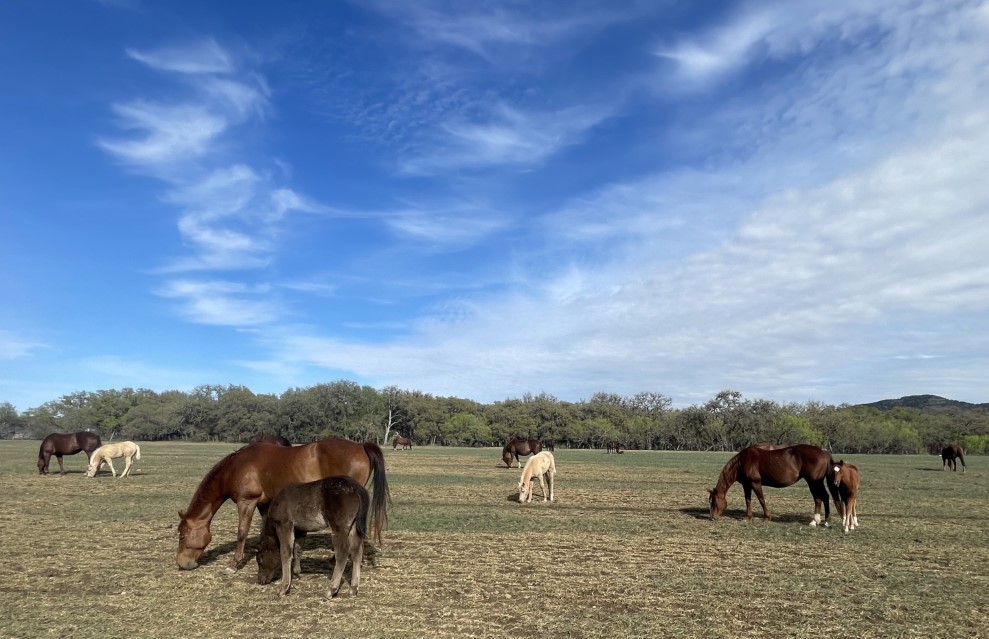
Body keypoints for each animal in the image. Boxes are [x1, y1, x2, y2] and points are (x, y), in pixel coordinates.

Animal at [178, 438, 390, 572]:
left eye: (181, 535)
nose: (182, 563)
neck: (236, 467)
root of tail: (360, 445)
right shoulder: (264, 504)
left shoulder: (247, 501)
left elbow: (242, 533)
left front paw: (234, 564)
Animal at [708, 442, 836, 528]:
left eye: (714, 502)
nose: (712, 518)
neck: (742, 462)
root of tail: (823, 451)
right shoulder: (746, 485)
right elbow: (748, 500)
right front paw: (748, 517)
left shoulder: (755, 483)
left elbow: (761, 499)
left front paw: (766, 517)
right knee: (823, 497)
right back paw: (823, 521)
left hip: (814, 482)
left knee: (819, 498)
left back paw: (818, 521)